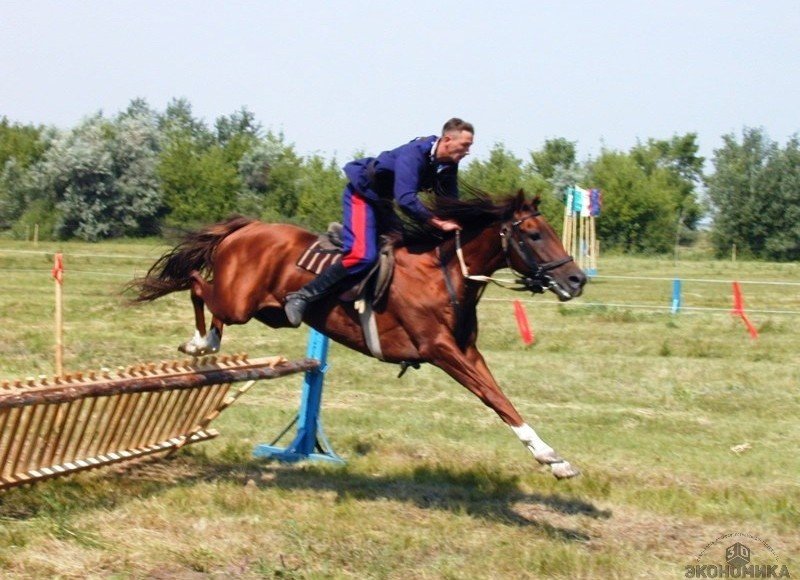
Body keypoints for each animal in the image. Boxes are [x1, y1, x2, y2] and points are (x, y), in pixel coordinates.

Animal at [131, 193, 588, 478]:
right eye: (534, 235)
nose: (577, 279)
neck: (445, 274)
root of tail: (248, 227)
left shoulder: (467, 351)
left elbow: (501, 399)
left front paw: (553, 458)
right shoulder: (441, 350)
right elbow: (491, 396)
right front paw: (549, 457)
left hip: (270, 313)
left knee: (207, 293)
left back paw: (207, 342)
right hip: (238, 301)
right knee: (196, 283)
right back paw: (200, 342)